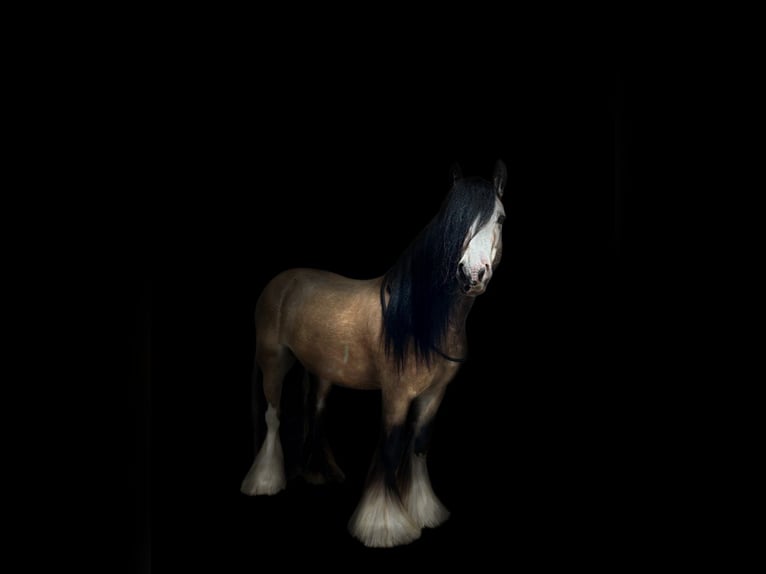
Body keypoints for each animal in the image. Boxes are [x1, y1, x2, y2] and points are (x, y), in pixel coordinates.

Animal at [241, 160, 507, 547]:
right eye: (452, 219)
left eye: (500, 219)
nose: (472, 274)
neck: (419, 320)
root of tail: (282, 281)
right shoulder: (396, 394)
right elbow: (392, 447)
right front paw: (384, 524)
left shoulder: (434, 395)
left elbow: (419, 445)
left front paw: (424, 511)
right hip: (273, 363)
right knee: (273, 417)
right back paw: (264, 482)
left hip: (322, 372)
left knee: (316, 413)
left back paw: (320, 474)